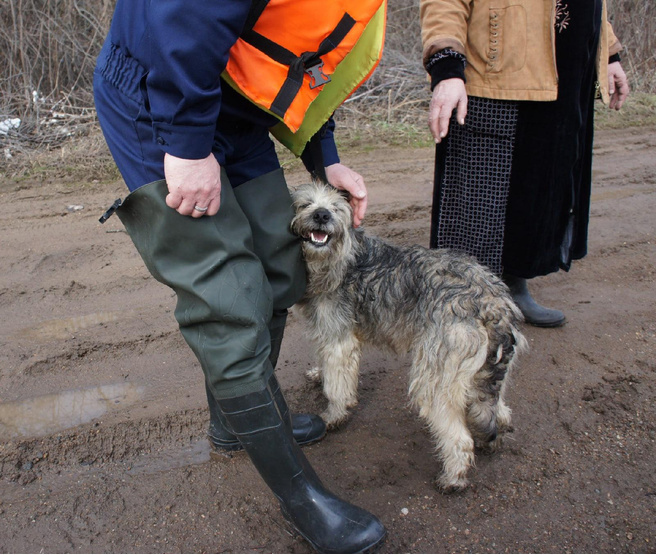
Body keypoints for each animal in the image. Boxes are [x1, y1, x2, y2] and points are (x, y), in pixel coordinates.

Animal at [290, 182, 528, 490]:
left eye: (336, 208)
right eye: (305, 204)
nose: (321, 215)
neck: (340, 257)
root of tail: (491, 301)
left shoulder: (340, 342)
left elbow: (337, 387)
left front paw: (333, 415)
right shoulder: (326, 330)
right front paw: (319, 374)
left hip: (435, 376)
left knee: (459, 436)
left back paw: (454, 477)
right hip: (484, 369)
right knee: (496, 406)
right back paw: (498, 429)